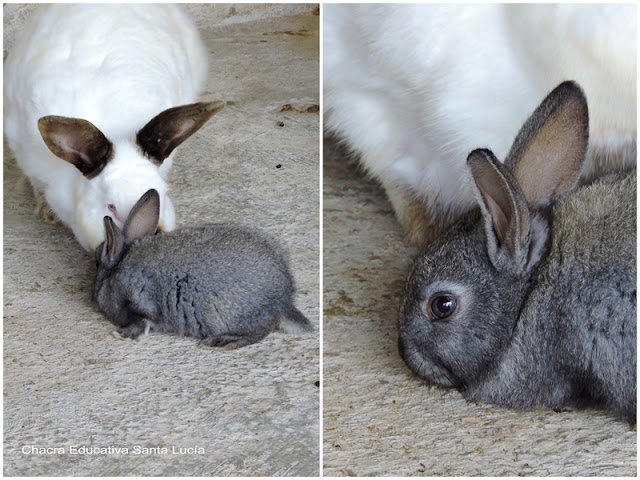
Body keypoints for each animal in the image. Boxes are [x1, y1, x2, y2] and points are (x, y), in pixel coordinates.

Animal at [94, 189, 312, 350]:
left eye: (97, 262)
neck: (118, 268)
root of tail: (283, 302)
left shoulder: (140, 304)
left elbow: (141, 323)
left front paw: (121, 334)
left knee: (262, 330)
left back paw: (223, 341)